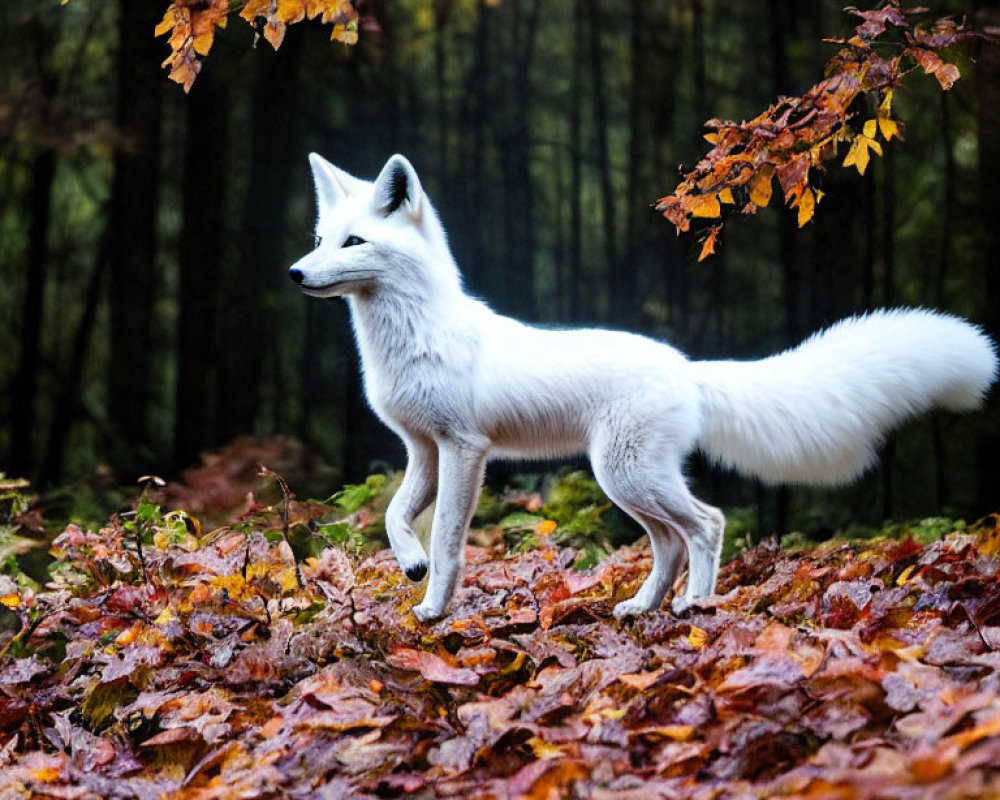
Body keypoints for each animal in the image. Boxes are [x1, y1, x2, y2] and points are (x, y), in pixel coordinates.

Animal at [286, 153, 996, 620]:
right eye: (320, 238)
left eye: (354, 241)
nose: (294, 273)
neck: (415, 337)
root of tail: (687, 367)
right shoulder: (423, 449)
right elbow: (393, 516)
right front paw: (410, 565)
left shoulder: (465, 449)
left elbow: (448, 539)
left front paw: (433, 609)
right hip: (627, 483)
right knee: (672, 543)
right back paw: (643, 606)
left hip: (625, 476)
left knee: (707, 525)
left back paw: (695, 608)